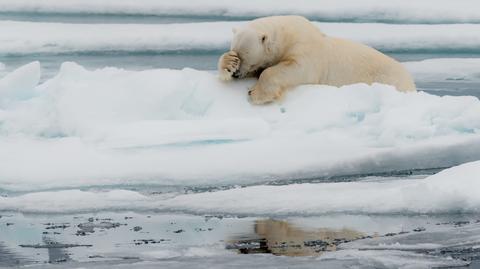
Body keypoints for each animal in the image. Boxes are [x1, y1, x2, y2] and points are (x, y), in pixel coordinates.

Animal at [218, 15, 416, 103]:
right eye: (235, 51)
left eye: (245, 56)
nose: (236, 75)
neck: (287, 35)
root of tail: (411, 82)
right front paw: (228, 64)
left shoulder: (306, 49)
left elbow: (296, 68)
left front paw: (256, 93)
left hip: (390, 79)